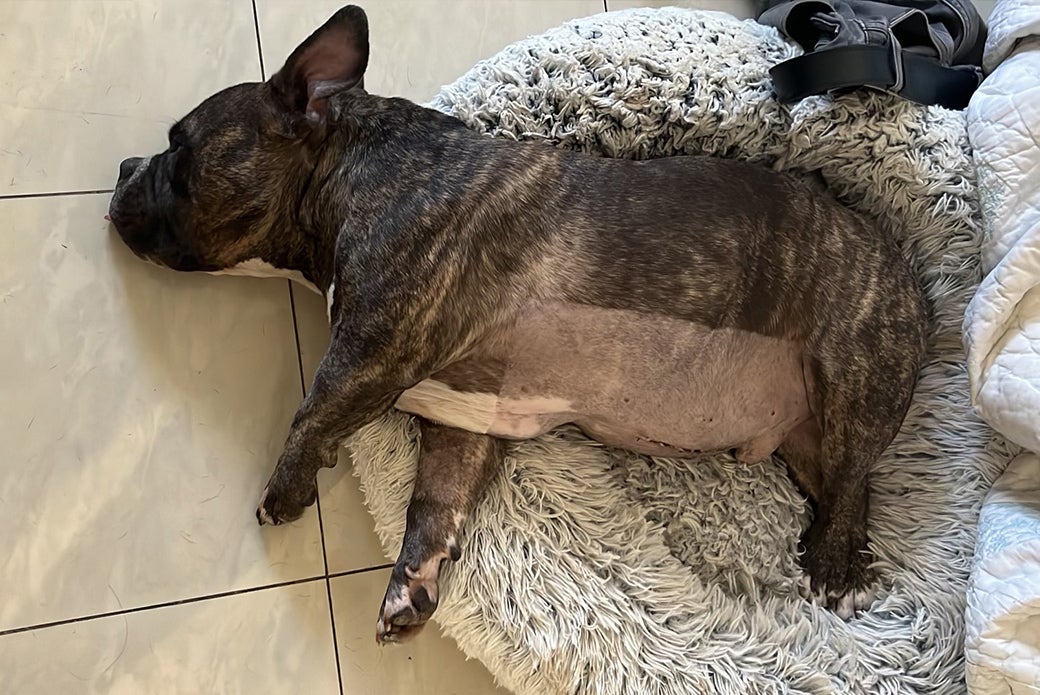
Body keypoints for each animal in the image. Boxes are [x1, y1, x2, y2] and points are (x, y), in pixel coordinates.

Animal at [107, 5, 928, 644]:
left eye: (179, 145)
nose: (121, 167)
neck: (338, 173)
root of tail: (900, 266)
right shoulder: (461, 427)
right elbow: (434, 505)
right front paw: (411, 582)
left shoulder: (372, 349)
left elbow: (312, 411)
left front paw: (283, 492)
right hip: (810, 443)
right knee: (854, 490)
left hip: (853, 375)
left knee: (852, 481)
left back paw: (833, 570)